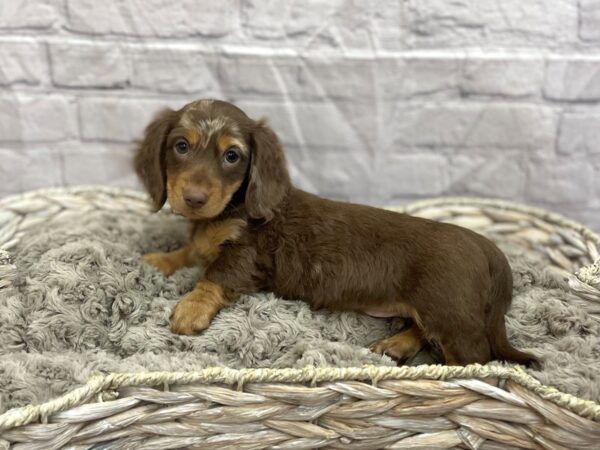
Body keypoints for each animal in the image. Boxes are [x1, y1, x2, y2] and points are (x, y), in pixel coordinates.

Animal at [136, 98, 540, 366]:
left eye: (232, 156)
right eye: (181, 146)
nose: (194, 198)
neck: (231, 210)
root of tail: (484, 245)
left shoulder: (247, 256)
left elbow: (212, 276)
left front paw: (190, 309)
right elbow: (191, 251)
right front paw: (158, 260)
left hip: (450, 314)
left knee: (475, 358)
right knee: (423, 330)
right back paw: (396, 344)